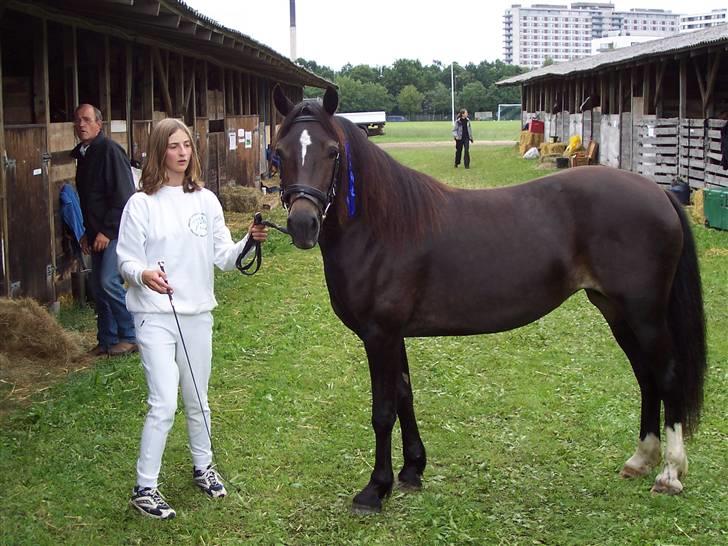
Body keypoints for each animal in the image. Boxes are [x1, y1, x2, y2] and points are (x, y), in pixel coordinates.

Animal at [272, 86, 704, 516]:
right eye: (279, 152)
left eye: (332, 151)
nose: (303, 225)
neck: (383, 227)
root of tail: (659, 193)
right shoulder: (395, 335)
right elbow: (404, 396)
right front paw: (412, 470)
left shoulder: (380, 335)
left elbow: (383, 411)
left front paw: (375, 490)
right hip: (616, 311)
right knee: (646, 378)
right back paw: (641, 460)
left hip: (644, 314)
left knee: (666, 377)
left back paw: (669, 473)